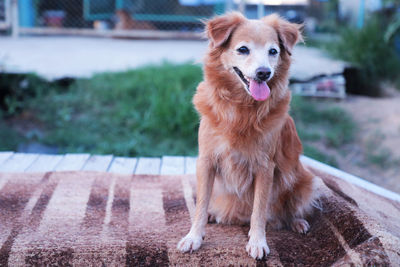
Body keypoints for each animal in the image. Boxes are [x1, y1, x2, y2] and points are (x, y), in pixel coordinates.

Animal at [177, 12, 318, 260]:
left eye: (273, 51)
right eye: (243, 49)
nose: (264, 73)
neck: (241, 109)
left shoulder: (265, 167)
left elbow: (259, 210)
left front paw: (257, 241)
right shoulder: (206, 161)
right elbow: (201, 204)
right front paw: (194, 236)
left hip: (305, 181)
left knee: (289, 209)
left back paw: (297, 222)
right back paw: (214, 214)